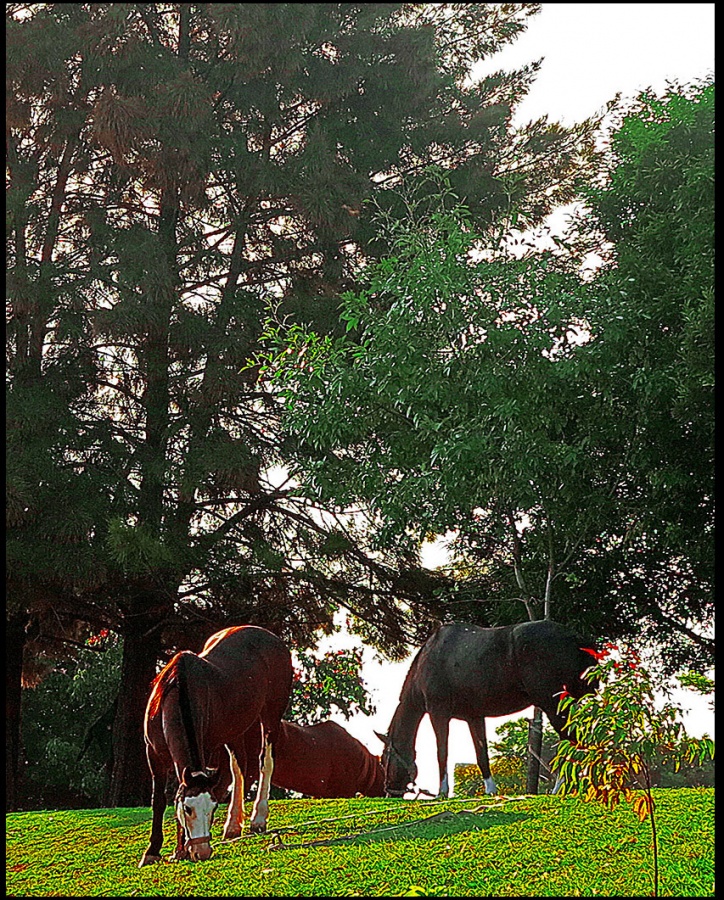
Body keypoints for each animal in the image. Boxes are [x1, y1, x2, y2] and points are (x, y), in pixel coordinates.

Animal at [139, 624, 292, 864]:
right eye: (188, 808)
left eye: (212, 808)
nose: (202, 851)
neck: (176, 691)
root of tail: (271, 637)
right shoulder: (153, 755)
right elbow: (159, 801)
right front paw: (154, 851)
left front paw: (179, 849)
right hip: (235, 729)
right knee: (240, 769)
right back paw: (233, 826)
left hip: (271, 716)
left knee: (264, 763)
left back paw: (258, 818)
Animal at [376, 620, 596, 800]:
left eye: (384, 760)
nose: (388, 792)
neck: (429, 657)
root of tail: (576, 638)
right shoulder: (474, 717)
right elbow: (481, 754)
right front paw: (491, 790)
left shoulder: (438, 713)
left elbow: (442, 752)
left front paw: (442, 792)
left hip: (553, 706)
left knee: (571, 742)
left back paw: (559, 788)